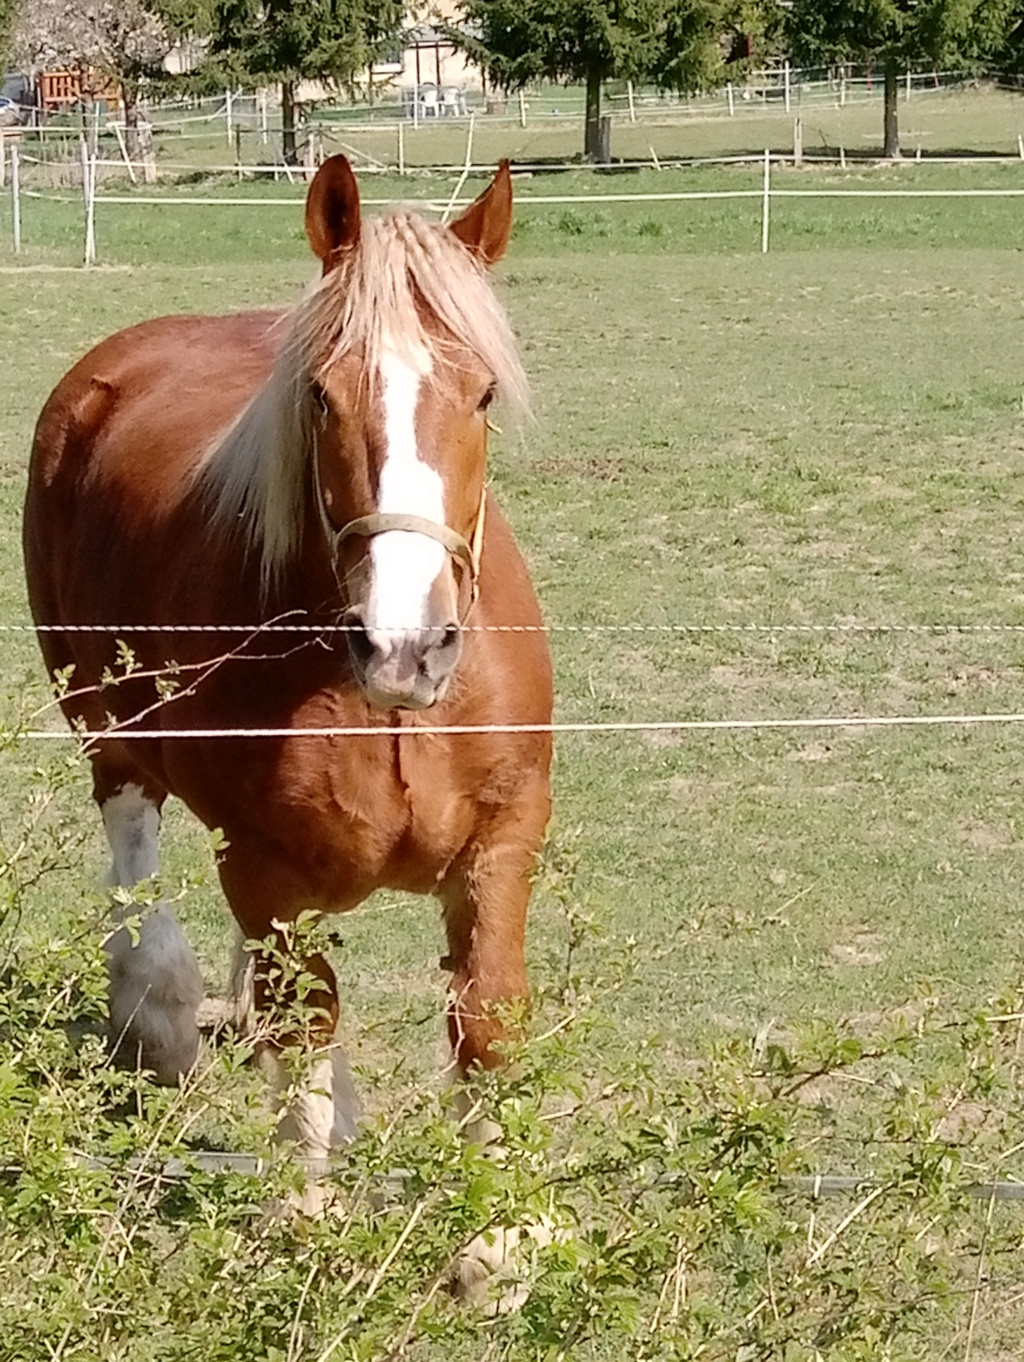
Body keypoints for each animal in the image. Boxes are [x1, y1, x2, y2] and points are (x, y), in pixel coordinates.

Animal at [21, 162, 552, 1193]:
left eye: (480, 395)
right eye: (321, 397)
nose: (406, 645)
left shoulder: (503, 843)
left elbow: (488, 1027)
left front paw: (503, 1227)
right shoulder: (262, 867)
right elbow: (301, 1050)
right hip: (98, 718)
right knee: (133, 842)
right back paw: (158, 1019)